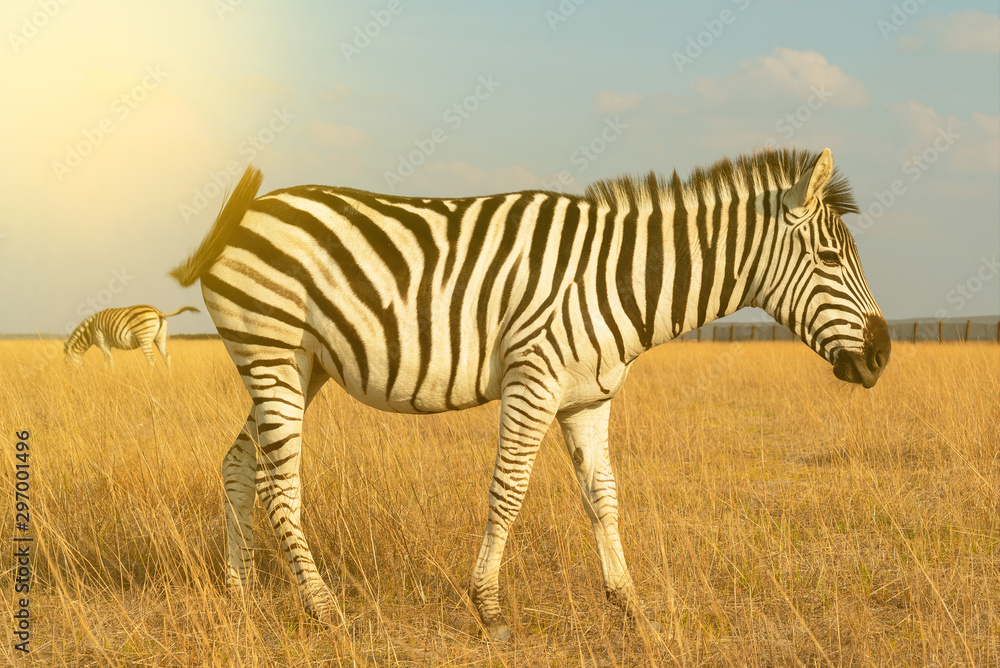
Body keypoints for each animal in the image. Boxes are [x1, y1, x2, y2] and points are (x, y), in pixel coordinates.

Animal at [64, 305, 200, 368]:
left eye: (67, 364)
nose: (71, 376)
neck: (90, 332)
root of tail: (156, 311)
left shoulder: (102, 341)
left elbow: (109, 360)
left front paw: (111, 375)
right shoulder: (107, 345)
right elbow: (106, 360)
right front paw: (106, 373)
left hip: (144, 338)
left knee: (151, 359)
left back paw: (150, 378)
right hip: (160, 338)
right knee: (166, 357)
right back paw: (168, 377)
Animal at [170, 148, 890, 641]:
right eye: (831, 260)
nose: (883, 356)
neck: (618, 278)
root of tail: (242, 214)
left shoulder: (587, 397)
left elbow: (603, 499)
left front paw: (631, 605)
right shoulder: (533, 380)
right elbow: (508, 491)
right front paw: (488, 609)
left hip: (299, 365)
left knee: (239, 463)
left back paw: (238, 596)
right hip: (272, 351)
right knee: (279, 484)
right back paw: (324, 610)